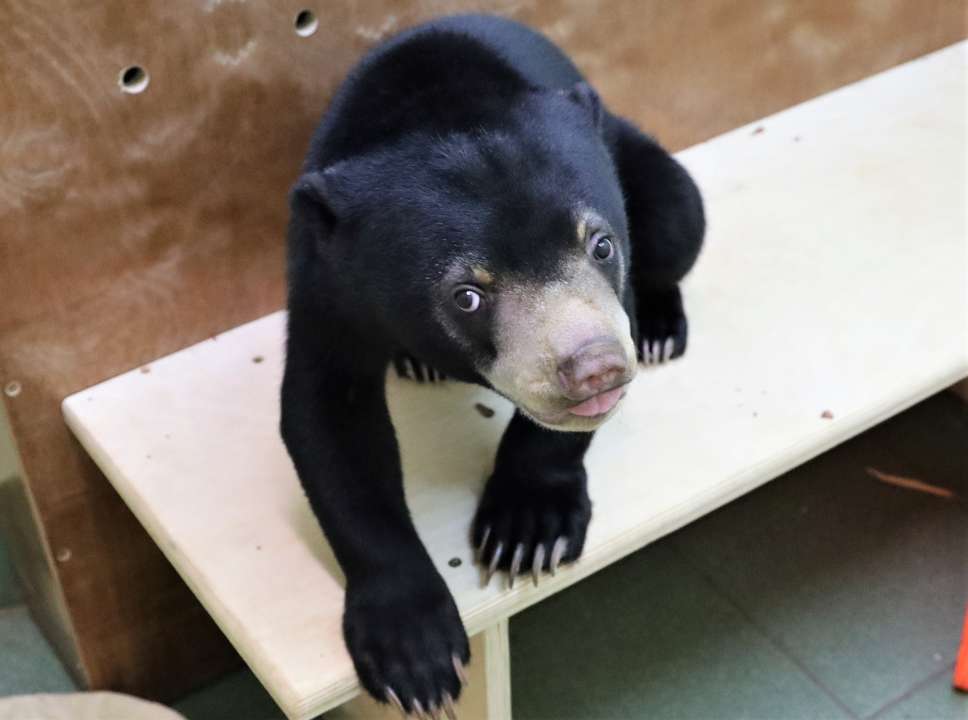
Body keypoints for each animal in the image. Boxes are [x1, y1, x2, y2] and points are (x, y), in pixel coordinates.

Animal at [280, 14, 704, 716]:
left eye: (601, 244)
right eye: (467, 296)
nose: (596, 368)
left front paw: (526, 530)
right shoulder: (326, 279)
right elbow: (328, 424)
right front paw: (414, 653)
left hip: (647, 170)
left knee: (678, 216)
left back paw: (660, 330)